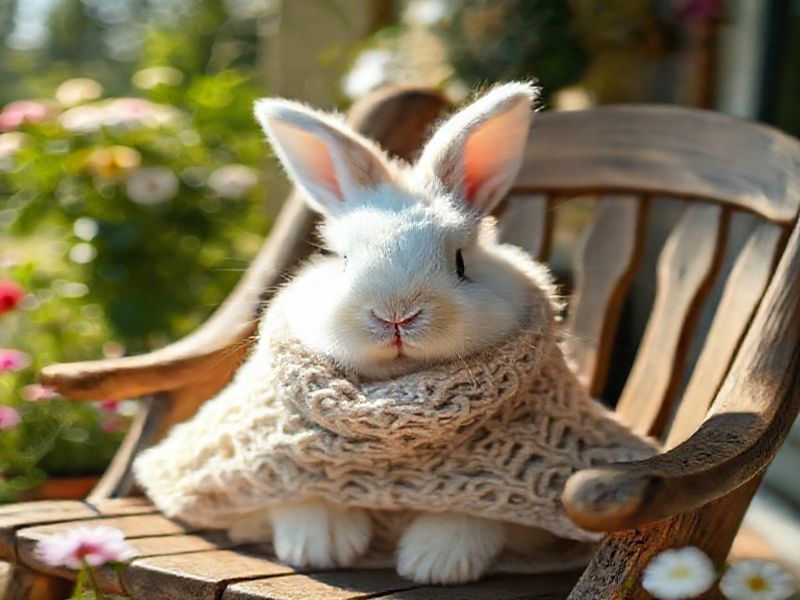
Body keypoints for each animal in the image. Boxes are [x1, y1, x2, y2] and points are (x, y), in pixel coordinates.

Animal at [245, 81, 540, 584]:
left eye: (460, 262)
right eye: (344, 260)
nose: (396, 316)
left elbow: (473, 510)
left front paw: (434, 566)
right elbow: (300, 491)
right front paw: (319, 550)